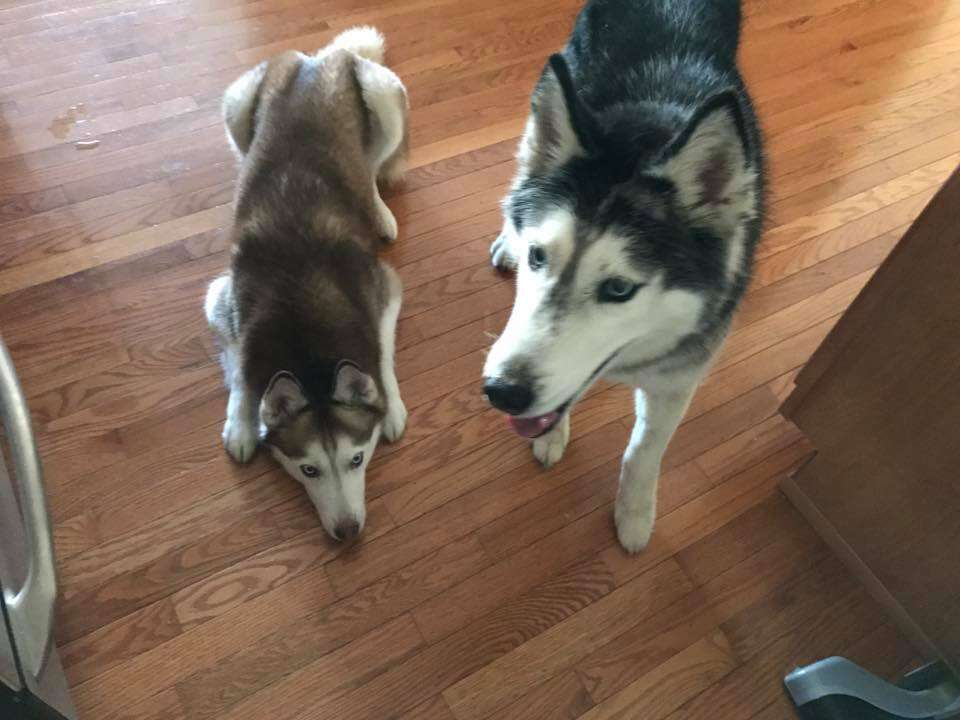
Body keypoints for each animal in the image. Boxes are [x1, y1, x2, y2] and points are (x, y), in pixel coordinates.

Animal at [206, 29, 408, 544]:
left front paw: (392, 405)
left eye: (357, 459)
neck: (304, 322)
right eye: (308, 469)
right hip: (235, 107)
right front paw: (241, 424)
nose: (348, 531)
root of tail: (320, 59)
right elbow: (241, 369)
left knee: (371, 168)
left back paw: (380, 214)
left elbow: (382, 352)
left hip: (387, 101)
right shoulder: (219, 299)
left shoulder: (386, 288)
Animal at [484, 0, 760, 552]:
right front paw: (552, 433)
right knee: (524, 172)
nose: (501, 392)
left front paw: (634, 512)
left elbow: (644, 452)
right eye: (538, 257)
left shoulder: (679, 379)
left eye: (618, 289)